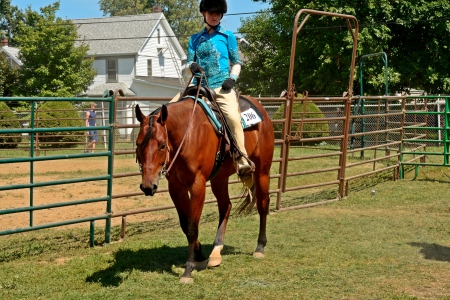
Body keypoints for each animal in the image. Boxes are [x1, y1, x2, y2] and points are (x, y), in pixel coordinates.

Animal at [134, 93, 274, 284]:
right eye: (138, 144)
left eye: (162, 145)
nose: (148, 186)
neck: (187, 134)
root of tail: (262, 111)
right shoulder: (176, 187)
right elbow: (185, 224)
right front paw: (200, 256)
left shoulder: (197, 185)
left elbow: (192, 227)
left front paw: (188, 269)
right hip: (219, 179)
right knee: (226, 206)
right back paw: (216, 252)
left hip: (262, 171)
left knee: (262, 204)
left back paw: (260, 246)